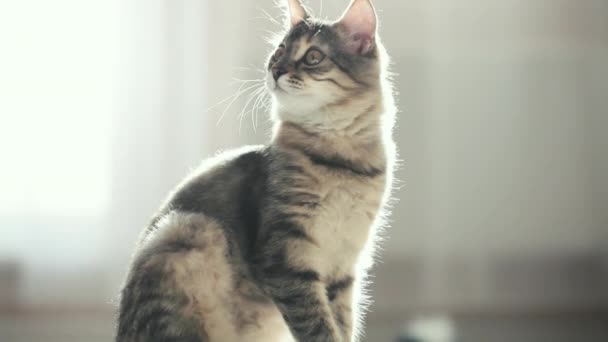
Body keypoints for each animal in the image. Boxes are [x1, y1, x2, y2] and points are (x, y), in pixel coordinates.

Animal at [116, 0, 396, 340]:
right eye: (279, 52)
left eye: (313, 56)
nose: (276, 70)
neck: (342, 164)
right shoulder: (284, 259)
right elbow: (319, 328)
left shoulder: (344, 266)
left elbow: (342, 325)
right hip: (187, 229)